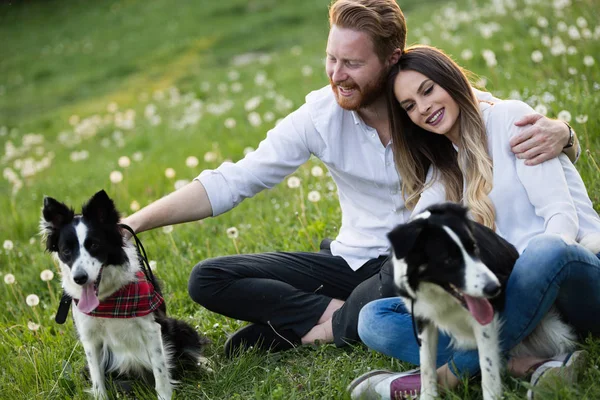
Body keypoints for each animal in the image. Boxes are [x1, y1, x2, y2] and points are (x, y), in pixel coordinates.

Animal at [41, 191, 210, 400]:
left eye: (94, 245)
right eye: (66, 251)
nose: (80, 278)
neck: (108, 300)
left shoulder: (152, 329)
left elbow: (161, 373)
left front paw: (165, 395)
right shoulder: (90, 339)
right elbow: (98, 381)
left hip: (178, 327)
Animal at [390, 205, 576, 398]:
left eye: (474, 248)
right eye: (448, 259)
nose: (495, 288)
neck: (441, 295)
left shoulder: (486, 319)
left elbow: (488, 367)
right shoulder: (422, 315)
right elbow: (426, 365)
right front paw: (429, 396)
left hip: (556, 331)